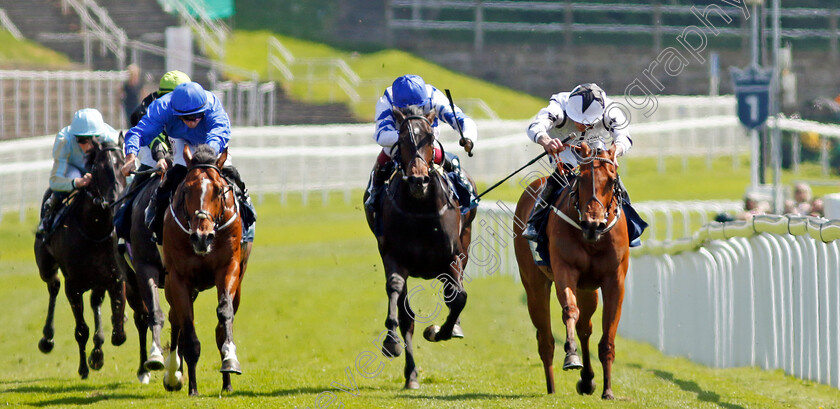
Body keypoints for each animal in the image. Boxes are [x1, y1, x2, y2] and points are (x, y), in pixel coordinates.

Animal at [34, 139, 128, 378]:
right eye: (99, 168)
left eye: (123, 165)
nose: (116, 199)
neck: (95, 229)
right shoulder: (73, 285)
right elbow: (81, 330)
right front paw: (84, 366)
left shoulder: (115, 277)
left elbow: (118, 333)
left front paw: (98, 353)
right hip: (46, 267)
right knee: (54, 286)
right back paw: (47, 338)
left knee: (95, 301)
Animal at [158, 144, 249, 396]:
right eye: (187, 190)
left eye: (219, 190)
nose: (202, 237)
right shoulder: (178, 278)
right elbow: (188, 327)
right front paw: (192, 388)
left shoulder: (228, 268)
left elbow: (224, 313)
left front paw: (230, 360)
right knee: (175, 318)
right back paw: (173, 374)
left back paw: (227, 383)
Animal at [364, 107, 476, 388]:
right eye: (402, 139)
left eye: (429, 138)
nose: (418, 180)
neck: (421, 209)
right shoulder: (394, 256)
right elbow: (398, 297)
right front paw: (391, 341)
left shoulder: (452, 257)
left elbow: (459, 297)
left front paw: (440, 331)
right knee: (408, 316)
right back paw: (411, 374)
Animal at [512, 141, 632, 398]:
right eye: (582, 178)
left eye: (611, 179)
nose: (592, 224)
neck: (593, 239)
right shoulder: (564, 271)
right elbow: (569, 311)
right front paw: (571, 356)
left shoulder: (614, 280)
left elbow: (607, 333)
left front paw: (608, 390)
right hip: (535, 285)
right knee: (545, 339)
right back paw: (552, 388)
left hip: (588, 289)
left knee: (585, 328)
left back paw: (587, 380)